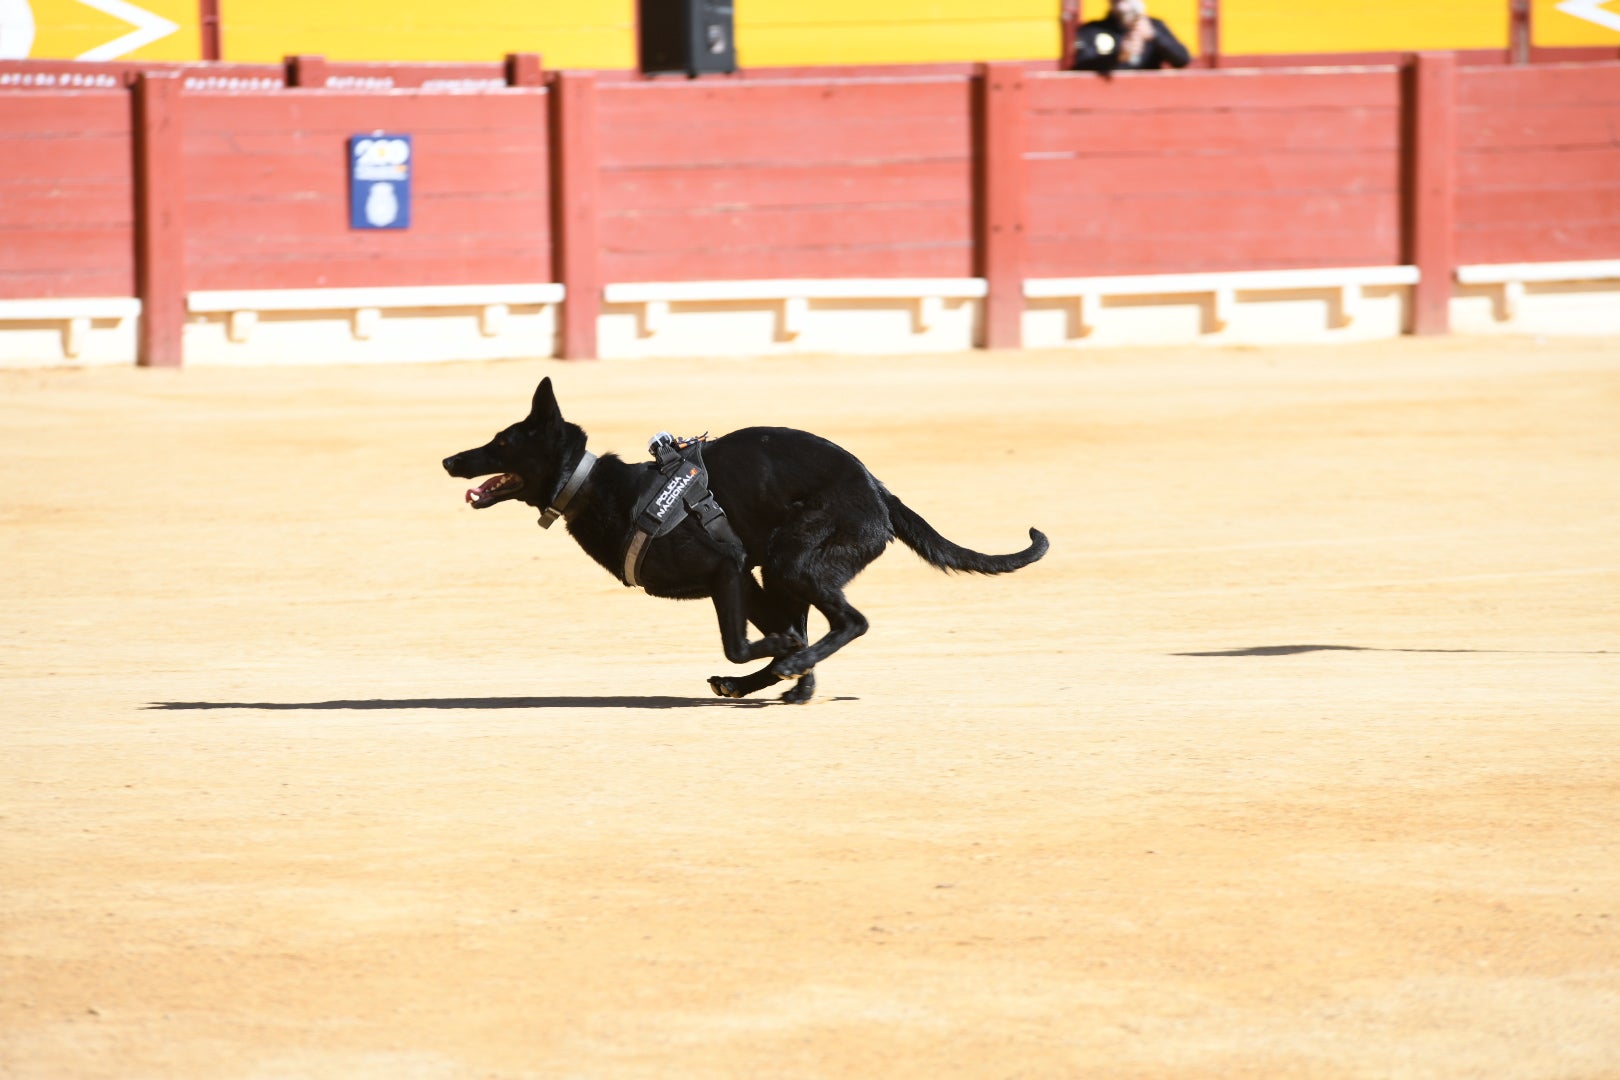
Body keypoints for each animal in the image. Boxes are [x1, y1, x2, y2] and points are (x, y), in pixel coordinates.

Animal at [443, 378, 1049, 702]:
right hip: (780, 575)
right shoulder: (742, 583)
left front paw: (781, 657)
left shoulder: (728, 570)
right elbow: (778, 636)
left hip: (791, 561)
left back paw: (782, 670)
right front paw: (789, 669)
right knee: (814, 628)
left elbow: (740, 643)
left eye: (501, 443)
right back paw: (783, 683)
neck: (595, 485)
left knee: (851, 622)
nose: (449, 460)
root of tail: (875, 488)